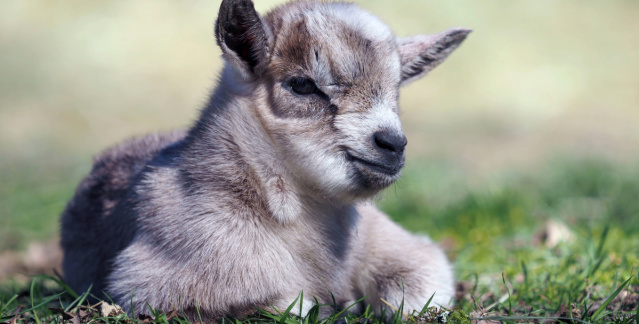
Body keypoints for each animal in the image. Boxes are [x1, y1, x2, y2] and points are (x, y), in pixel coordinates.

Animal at [60, 0, 470, 318]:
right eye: (302, 84)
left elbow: (416, 293)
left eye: (395, 90)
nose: (392, 143)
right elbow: (288, 303)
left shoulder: (401, 249)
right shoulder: (157, 280)